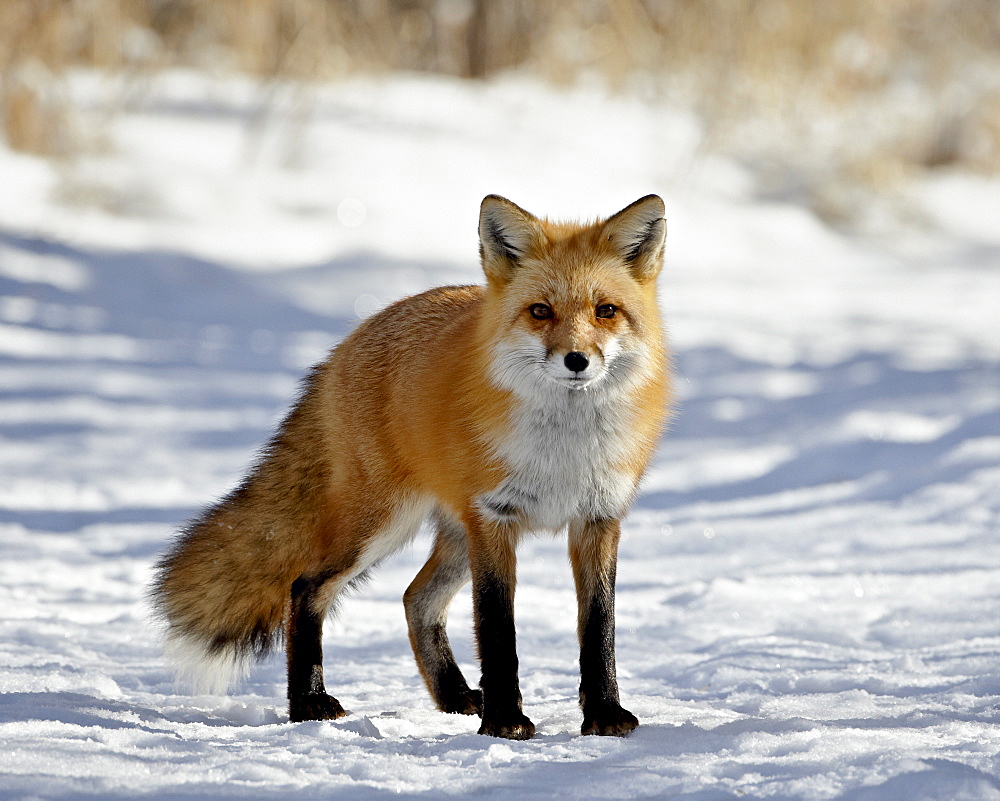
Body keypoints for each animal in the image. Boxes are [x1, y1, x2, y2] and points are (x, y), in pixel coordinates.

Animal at [152, 194, 672, 736]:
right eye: (540, 312)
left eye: (606, 311)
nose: (576, 360)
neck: (564, 451)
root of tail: (349, 341)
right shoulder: (494, 518)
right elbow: (498, 631)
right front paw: (504, 721)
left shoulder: (598, 519)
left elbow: (599, 629)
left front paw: (605, 715)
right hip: (381, 525)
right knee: (306, 586)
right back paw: (308, 703)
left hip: (452, 535)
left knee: (414, 599)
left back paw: (454, 695)